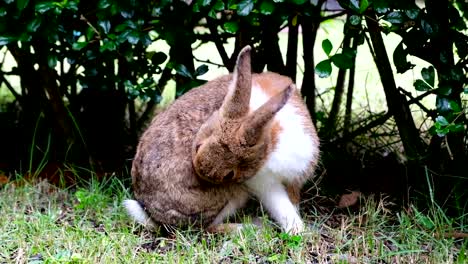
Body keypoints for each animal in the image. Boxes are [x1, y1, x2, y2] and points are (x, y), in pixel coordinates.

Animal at [122, 46, 320, 234]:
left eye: (230, 174)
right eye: (197, 145)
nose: (202, 173)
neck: (272, 136)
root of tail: (153, 214)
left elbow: (291, 203)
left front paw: (297, 231)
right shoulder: (263, 182)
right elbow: (280, 204)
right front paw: (297, 231)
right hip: (230, 194)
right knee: (206, 228)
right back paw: (252, 227)